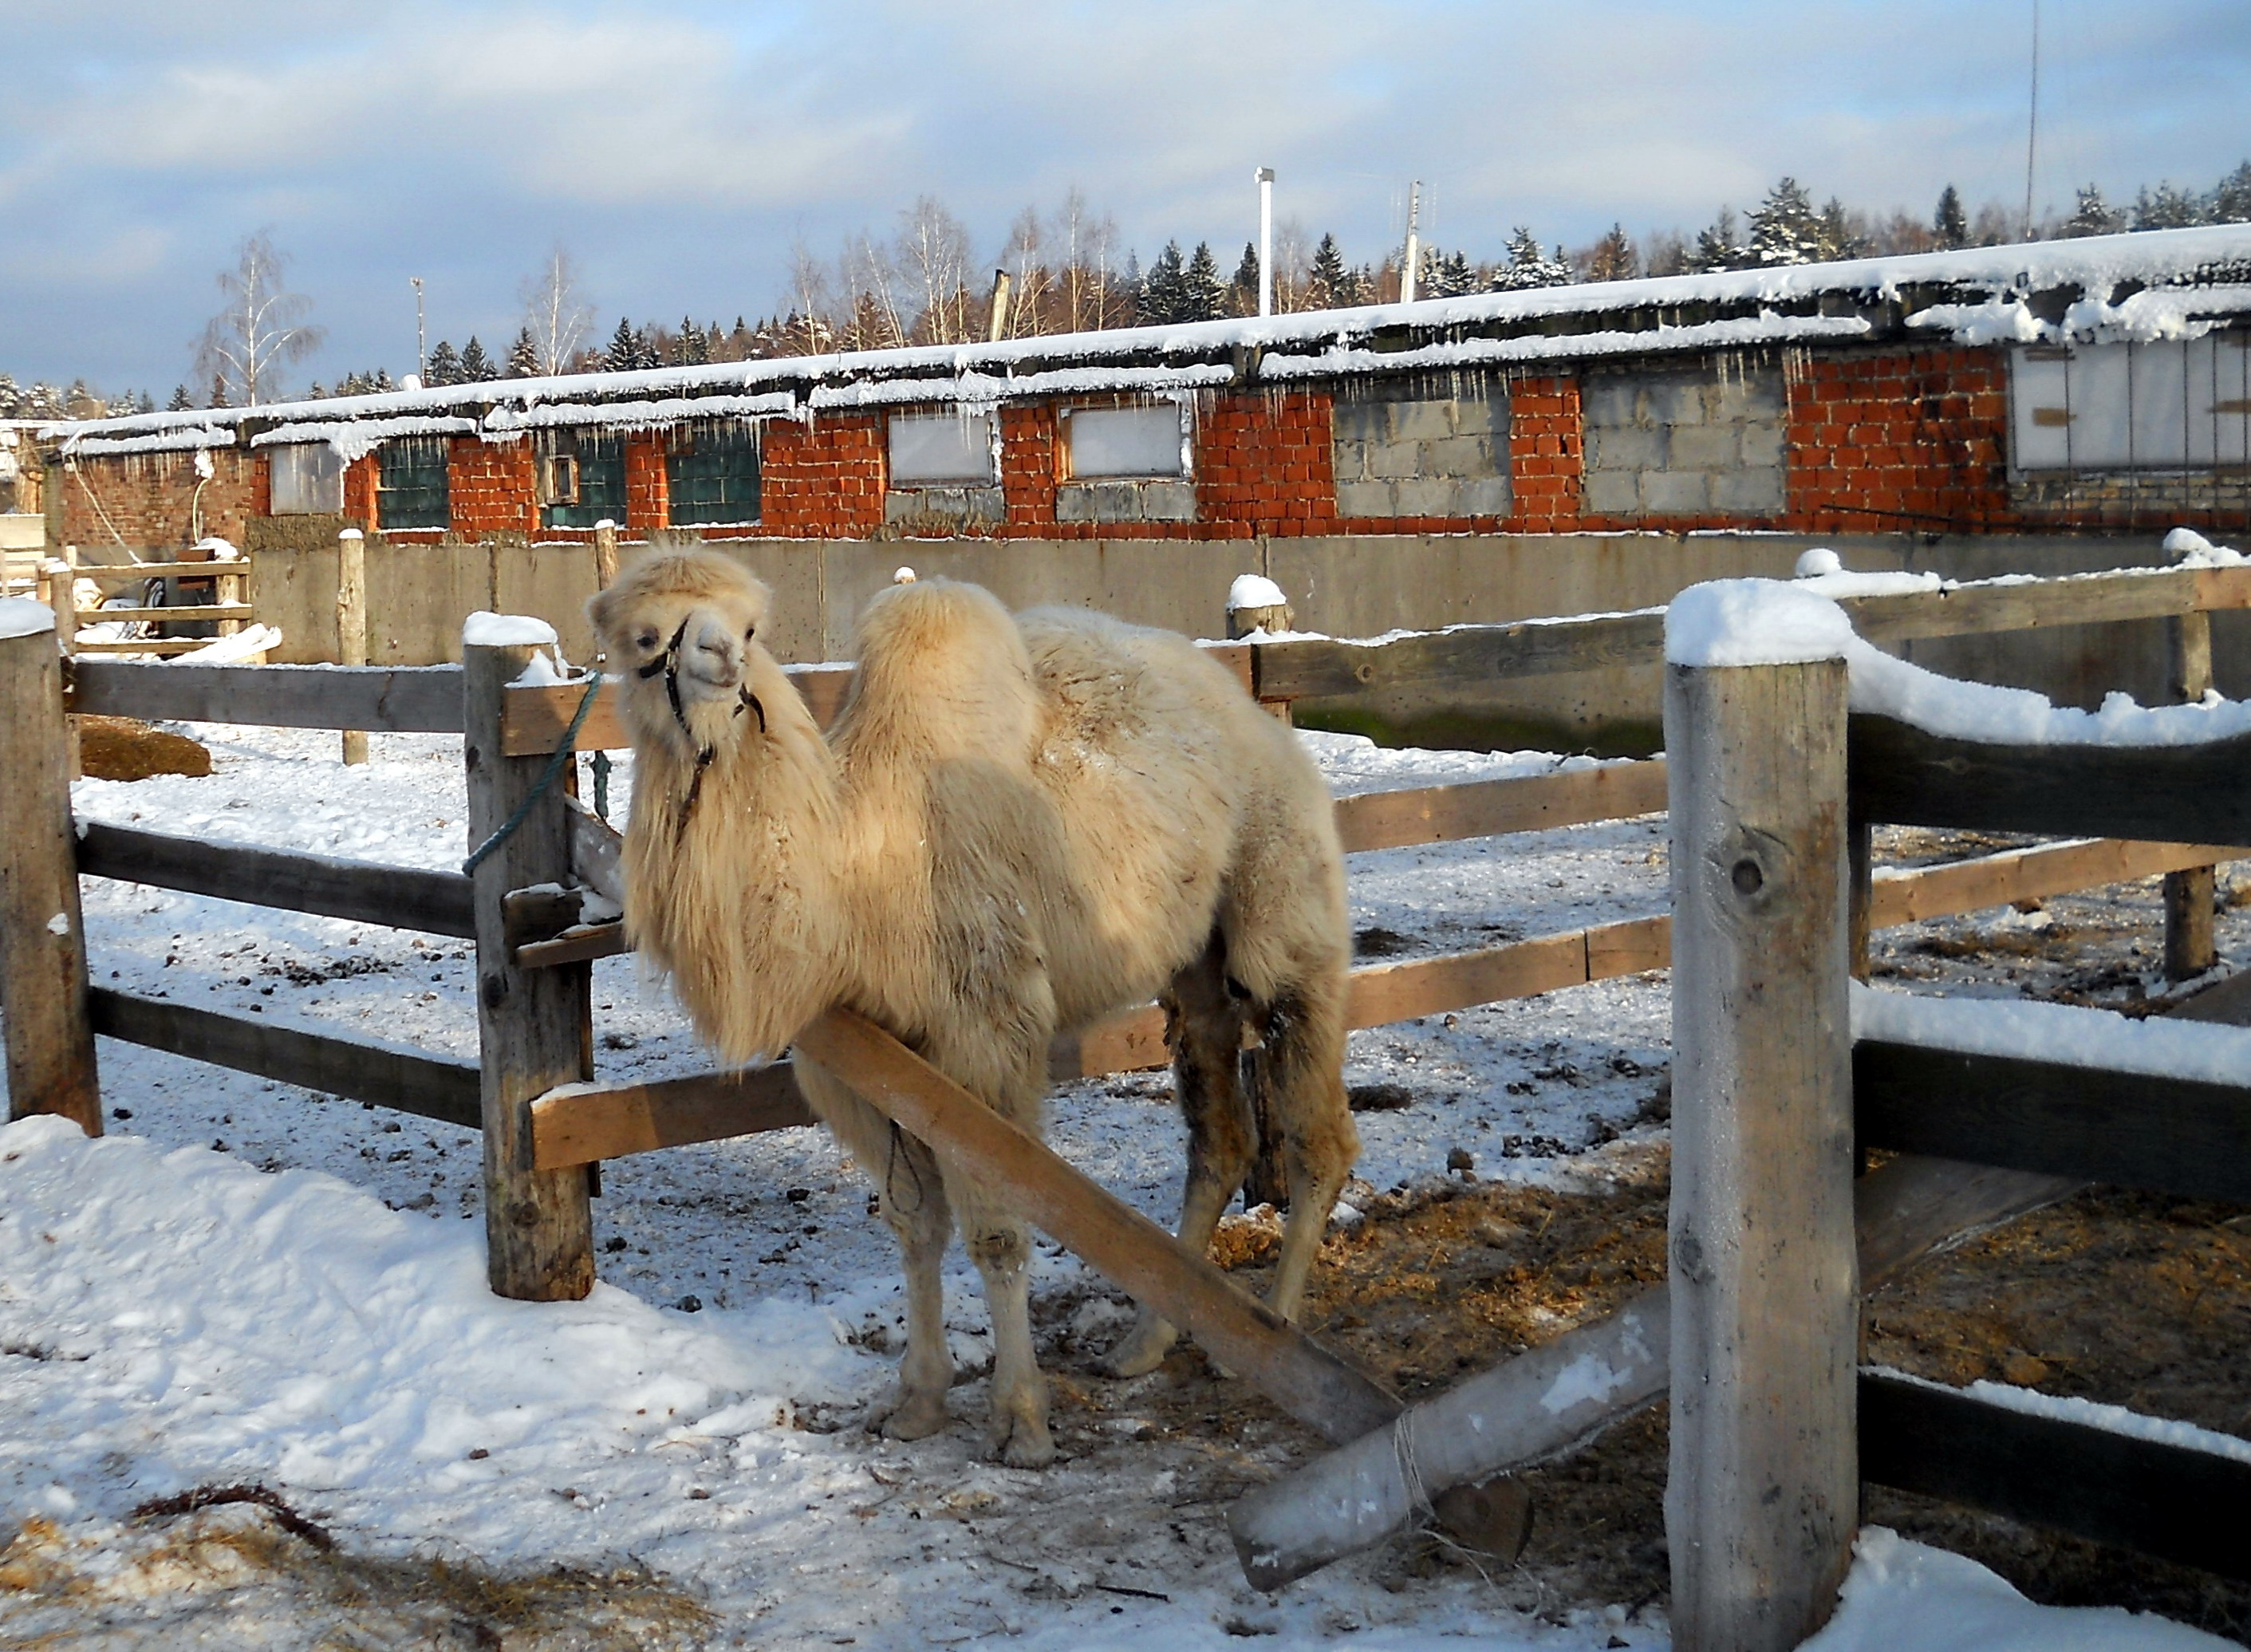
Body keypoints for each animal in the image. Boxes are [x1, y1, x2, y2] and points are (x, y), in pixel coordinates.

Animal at [585, 555, 1350, 1476]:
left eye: (750, 625)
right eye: (643, 638)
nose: (723, 659)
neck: (860, 868)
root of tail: (1266, 726)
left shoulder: (984, 1033)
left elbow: (997, 1232)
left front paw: (1020, 1420)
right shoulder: (854, 1061)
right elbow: (914, 1227)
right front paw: (916, 1400)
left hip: (1283, 902)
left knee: (1317, 1126)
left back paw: (1278, 1334)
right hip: (1190, 965)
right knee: (1220, 1135)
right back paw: (1144, 1342)